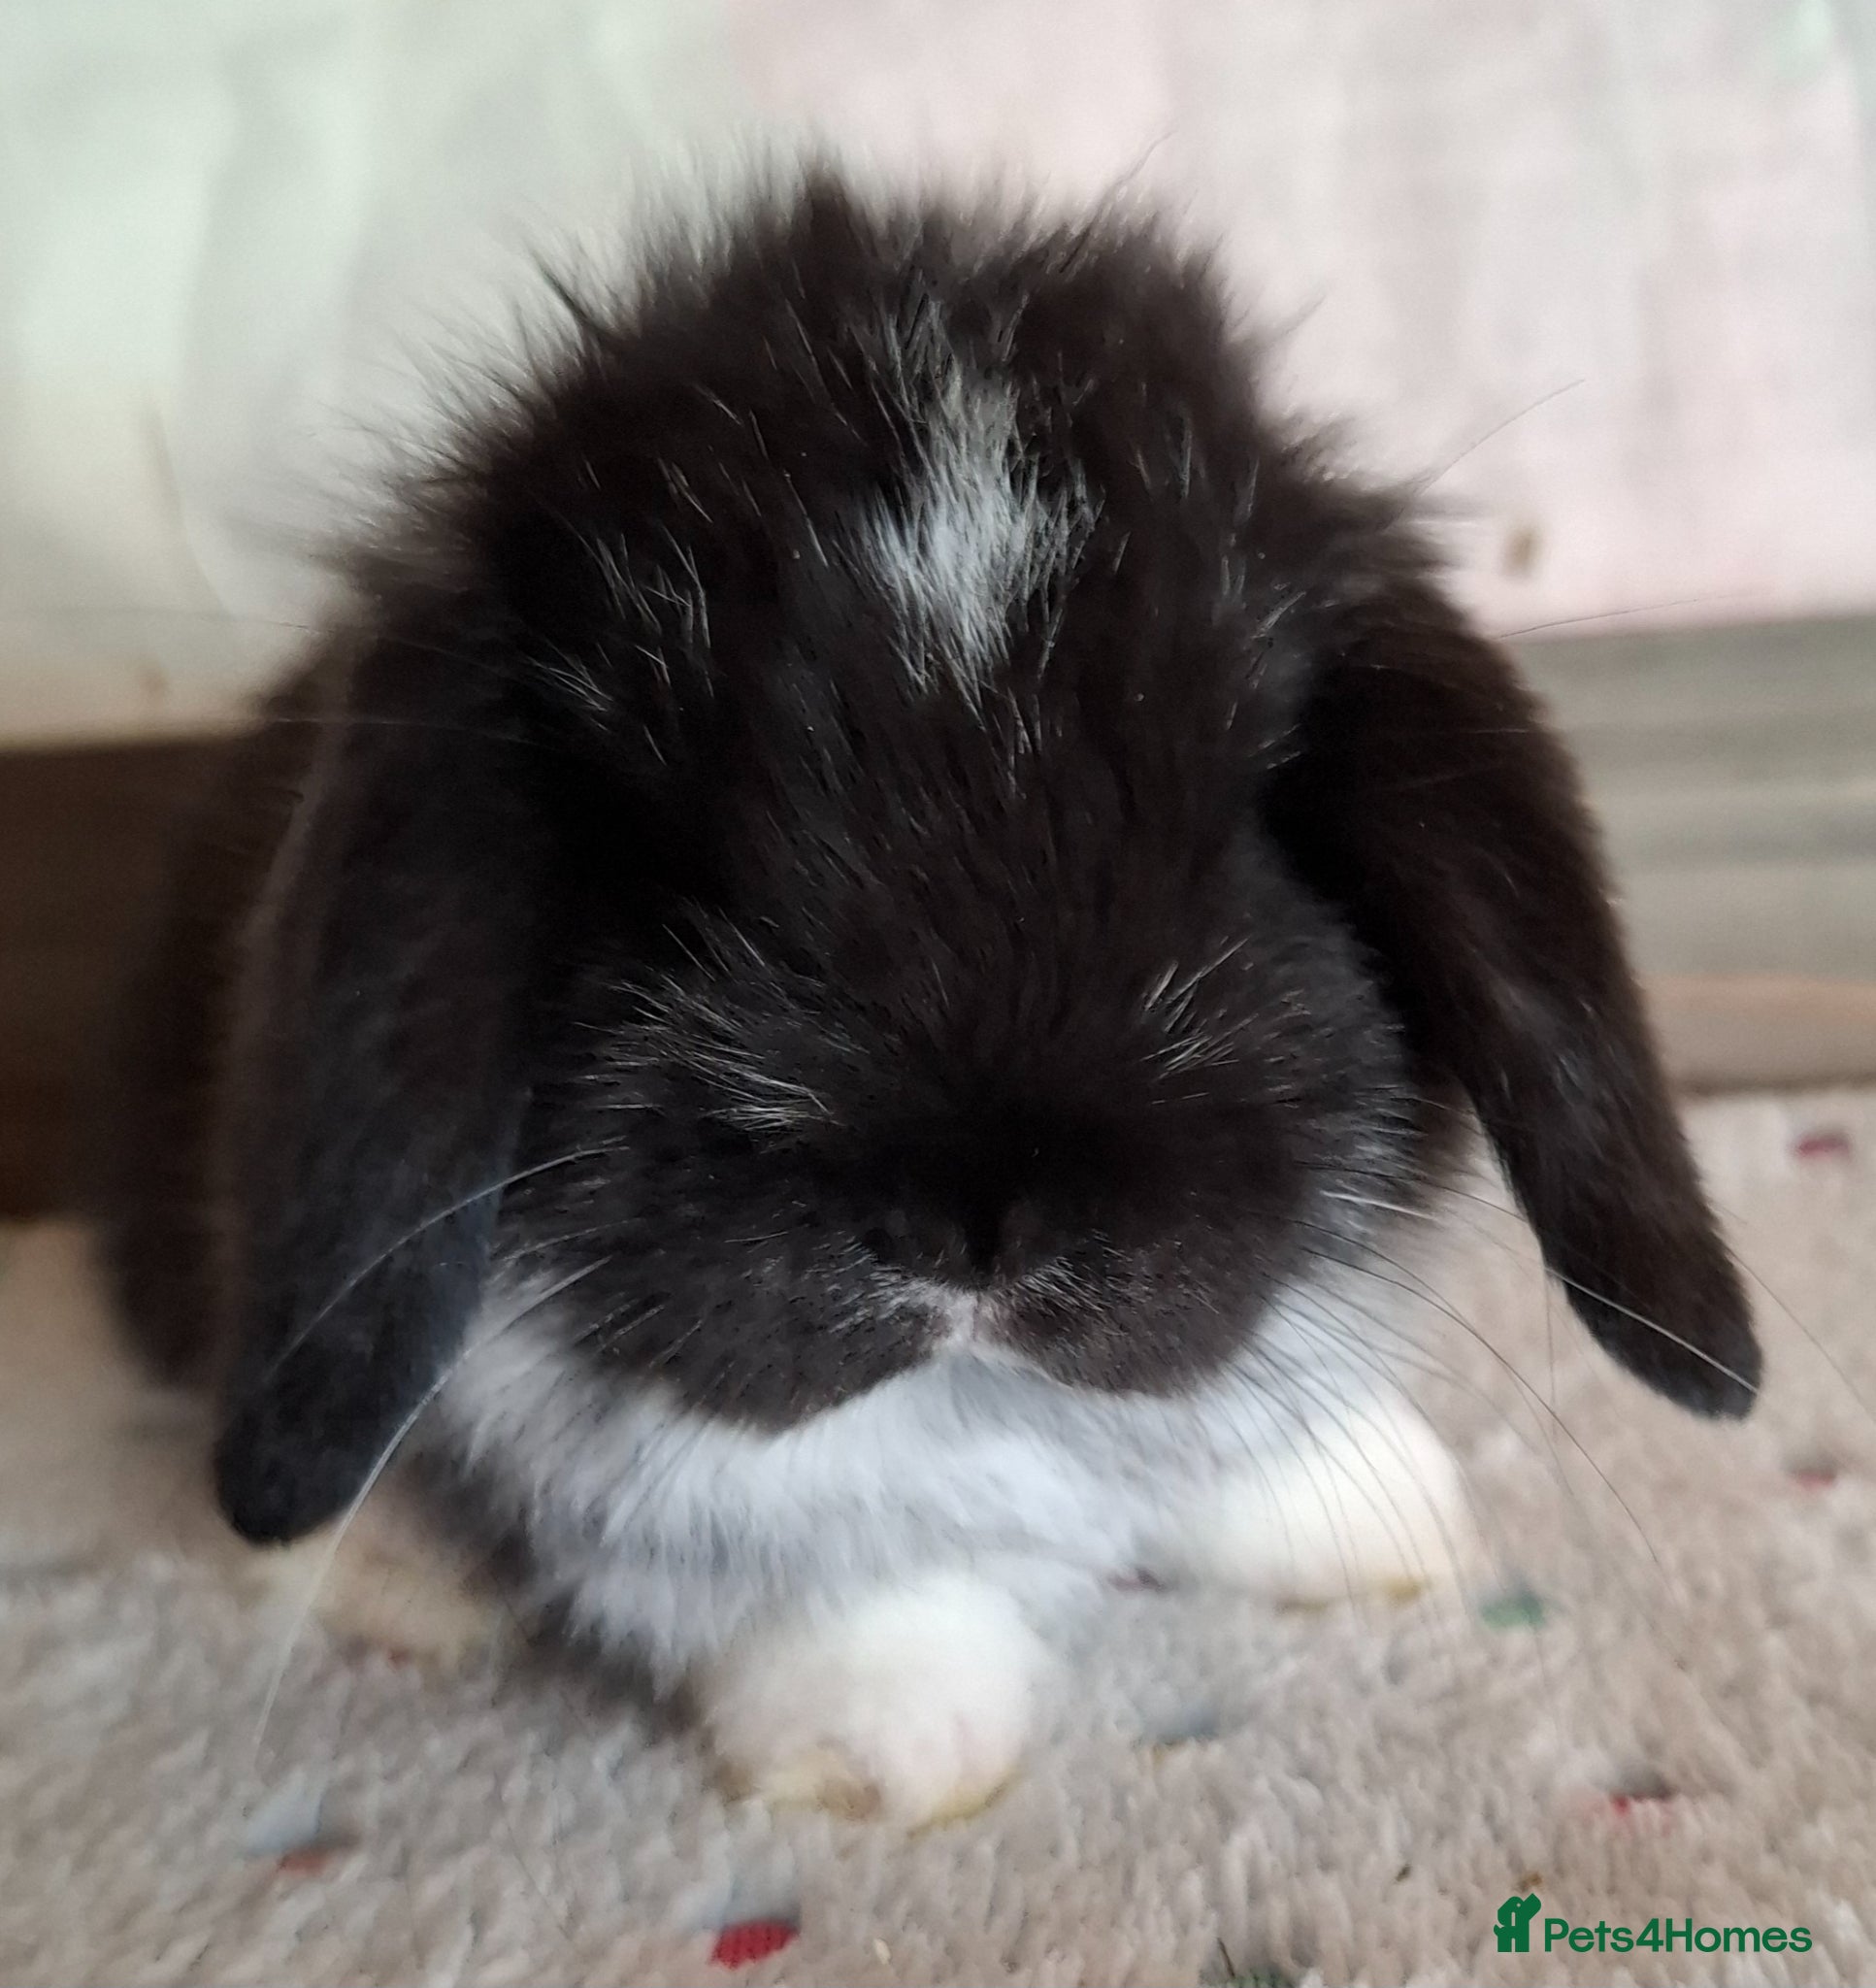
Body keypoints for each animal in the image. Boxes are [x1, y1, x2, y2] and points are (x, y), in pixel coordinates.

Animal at [96, 171, 1760, 1826]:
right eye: (652, 837)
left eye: (1255, 801)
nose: (981, 1219)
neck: (995, 1401)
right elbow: (786, 1562)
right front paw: (889, 1744)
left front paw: (1378, 1520)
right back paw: (390, 1582)